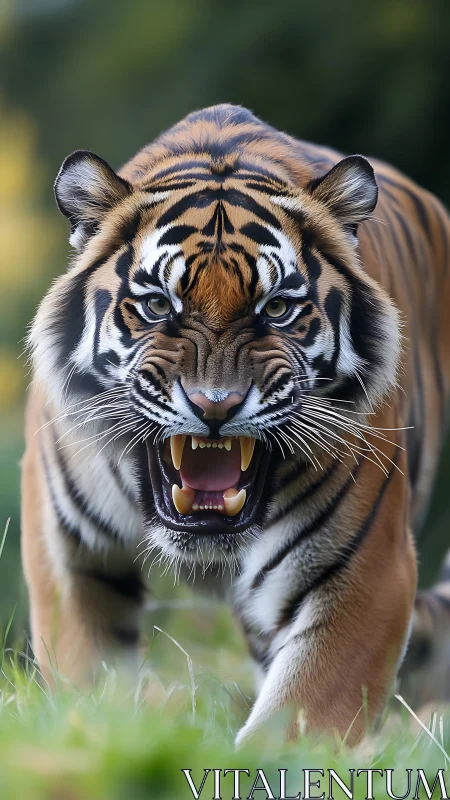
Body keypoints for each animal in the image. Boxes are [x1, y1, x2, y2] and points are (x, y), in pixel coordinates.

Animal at [22, 104, 450, 746]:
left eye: (277, 309)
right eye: (158, 306)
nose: (215, 405)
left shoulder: (364, 571)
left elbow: (296, 726)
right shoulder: (70, 553)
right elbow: (85, 681)